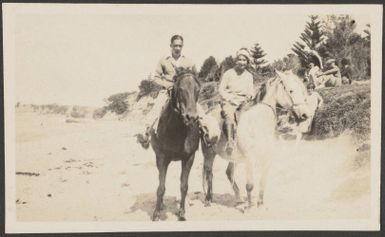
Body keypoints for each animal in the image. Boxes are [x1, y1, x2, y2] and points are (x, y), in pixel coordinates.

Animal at [148, 68, 200, 220]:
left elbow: (184, 186)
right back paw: (160, 205)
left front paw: (182, 213)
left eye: (198, 90)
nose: (191, 117)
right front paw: (156, 213)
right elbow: (160, 187)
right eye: (180, 89)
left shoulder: (189, 158)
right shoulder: (162, 158)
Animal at [201, 70, 308, 209]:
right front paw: (249, 207)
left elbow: (262, 181)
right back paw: (208, 199)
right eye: (291, 90)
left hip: (232, 157)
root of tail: (207, 114)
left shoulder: (268, 157)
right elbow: (250, 185)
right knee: (209, 173)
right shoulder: (249, 158)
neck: (260, 121)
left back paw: (239, 199)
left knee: (229, 173)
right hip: (208, 153)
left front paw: (260, 203)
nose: (305, 115)